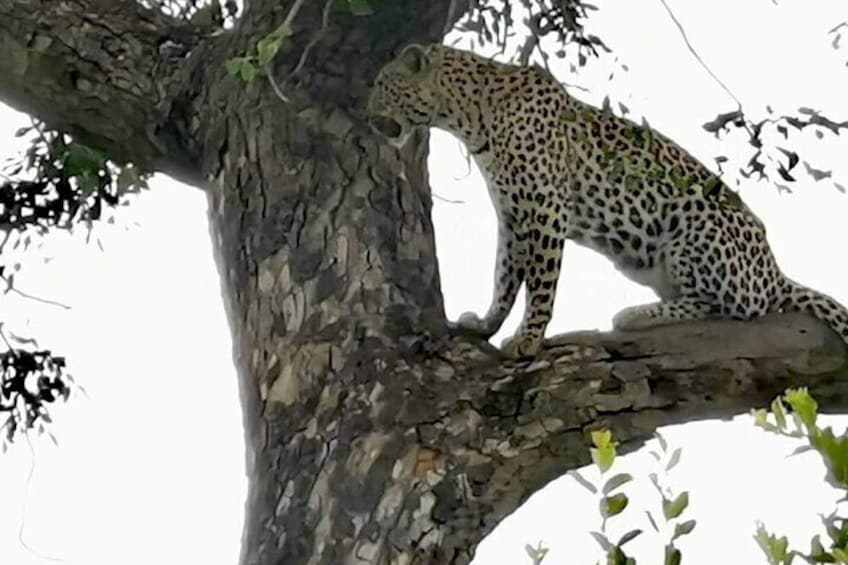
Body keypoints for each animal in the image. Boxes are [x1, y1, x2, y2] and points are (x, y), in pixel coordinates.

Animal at [366, 43, 848, 359]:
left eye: (382, 84)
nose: (368, 117)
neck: (469, 115)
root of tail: (775, 272)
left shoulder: (544, 209)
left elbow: (541, 283)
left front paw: (528, 339)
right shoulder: (513, 214)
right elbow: (504, 277)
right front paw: (485, 326)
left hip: (695, 224)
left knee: (734, 308)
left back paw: (636, 315)